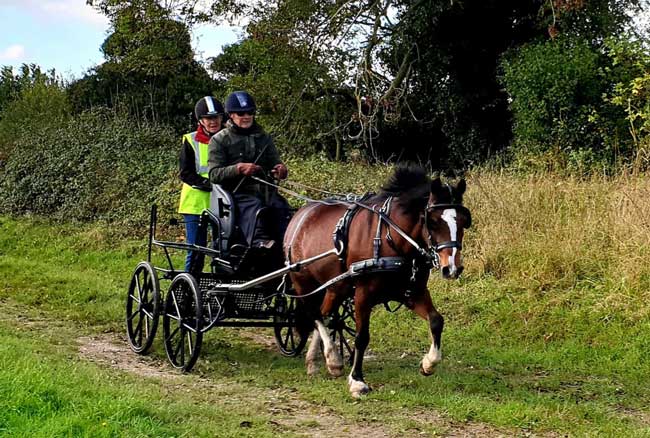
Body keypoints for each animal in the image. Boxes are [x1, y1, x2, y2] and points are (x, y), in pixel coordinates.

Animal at [280, 163, 468, 396]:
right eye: (432, 222)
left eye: (464, 221)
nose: (452, 268)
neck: (391, 238)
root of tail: (300, 215)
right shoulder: (363, 294)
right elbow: (362, 337)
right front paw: (357, 380)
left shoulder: (413, 292)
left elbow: (436, 320)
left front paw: (428, 363)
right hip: (303, 282)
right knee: (314, 314)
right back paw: (332, 357)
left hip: (336, 287)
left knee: (324, 313)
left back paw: (319, 361)